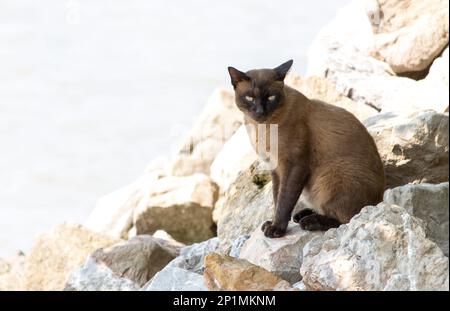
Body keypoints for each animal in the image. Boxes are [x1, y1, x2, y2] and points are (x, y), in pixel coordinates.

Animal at [229, 59, 386, 238]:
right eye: (250, 98)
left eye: (270, 97)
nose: (260, 112)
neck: (262, 128)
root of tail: (380, 198)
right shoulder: (275, 168)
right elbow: (276, 197)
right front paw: (272, 223)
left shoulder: (294, 165)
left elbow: (284, 200)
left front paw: (276, 229)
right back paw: (302, 215)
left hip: (333, 174)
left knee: (347, 218)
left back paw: (309, 222)